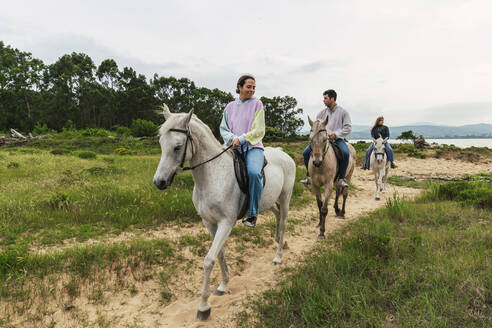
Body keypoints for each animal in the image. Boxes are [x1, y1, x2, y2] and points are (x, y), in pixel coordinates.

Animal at [153, 105, 296, 320]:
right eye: (161, 143)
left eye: (177, 146)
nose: (159, 182)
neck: (213, 176)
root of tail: (284, 154)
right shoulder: (209, 223)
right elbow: (219, 254)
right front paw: (222, 285)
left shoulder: (225, 223)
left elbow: (208, 260)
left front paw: (204, 306)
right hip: (268, 200)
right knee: (278, 215)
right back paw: (281, 241)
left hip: (286, 196)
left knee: (285, 219)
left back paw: (278, 256)